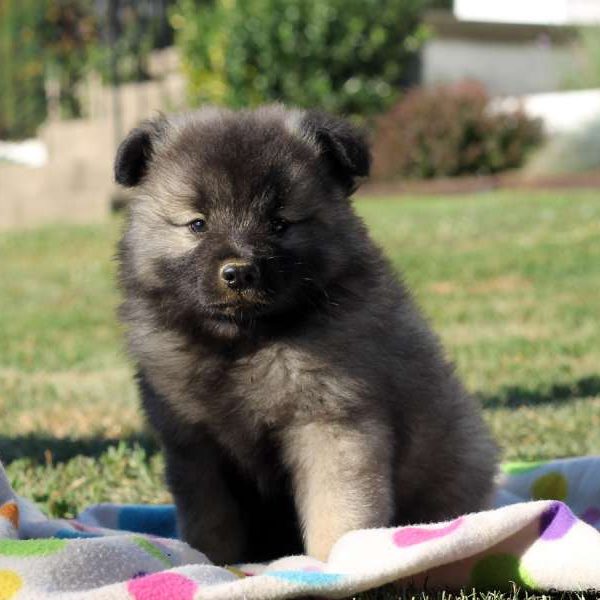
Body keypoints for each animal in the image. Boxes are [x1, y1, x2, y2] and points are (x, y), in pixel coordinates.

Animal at [115, 105, 500, 564]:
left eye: (280, 224)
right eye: (197, 224)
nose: (239, 273)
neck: (245, 344)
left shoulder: (333, 425)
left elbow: (337, 511)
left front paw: (334, 564)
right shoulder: (195, 449)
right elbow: (211, 524)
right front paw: (211, 562)